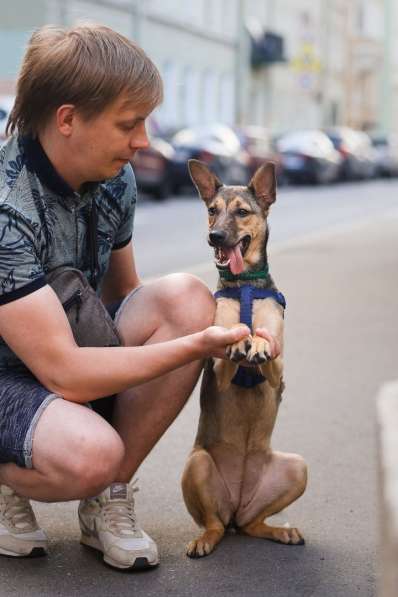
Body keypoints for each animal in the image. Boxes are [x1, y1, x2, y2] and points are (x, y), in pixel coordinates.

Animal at [181, 159, 308, 560]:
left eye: (242, 212)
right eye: (211, 210)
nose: (216, 237)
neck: (245, 285)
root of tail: (237, 505)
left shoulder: (278, 370)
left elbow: (267, 343)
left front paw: (258, 344)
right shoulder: (220, 367)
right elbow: (233, 337)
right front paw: (241, 340)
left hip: (297, 468)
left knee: (253, 524)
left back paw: (280, 531)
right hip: (198, 464)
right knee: (215, 525)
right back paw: (204, 540)